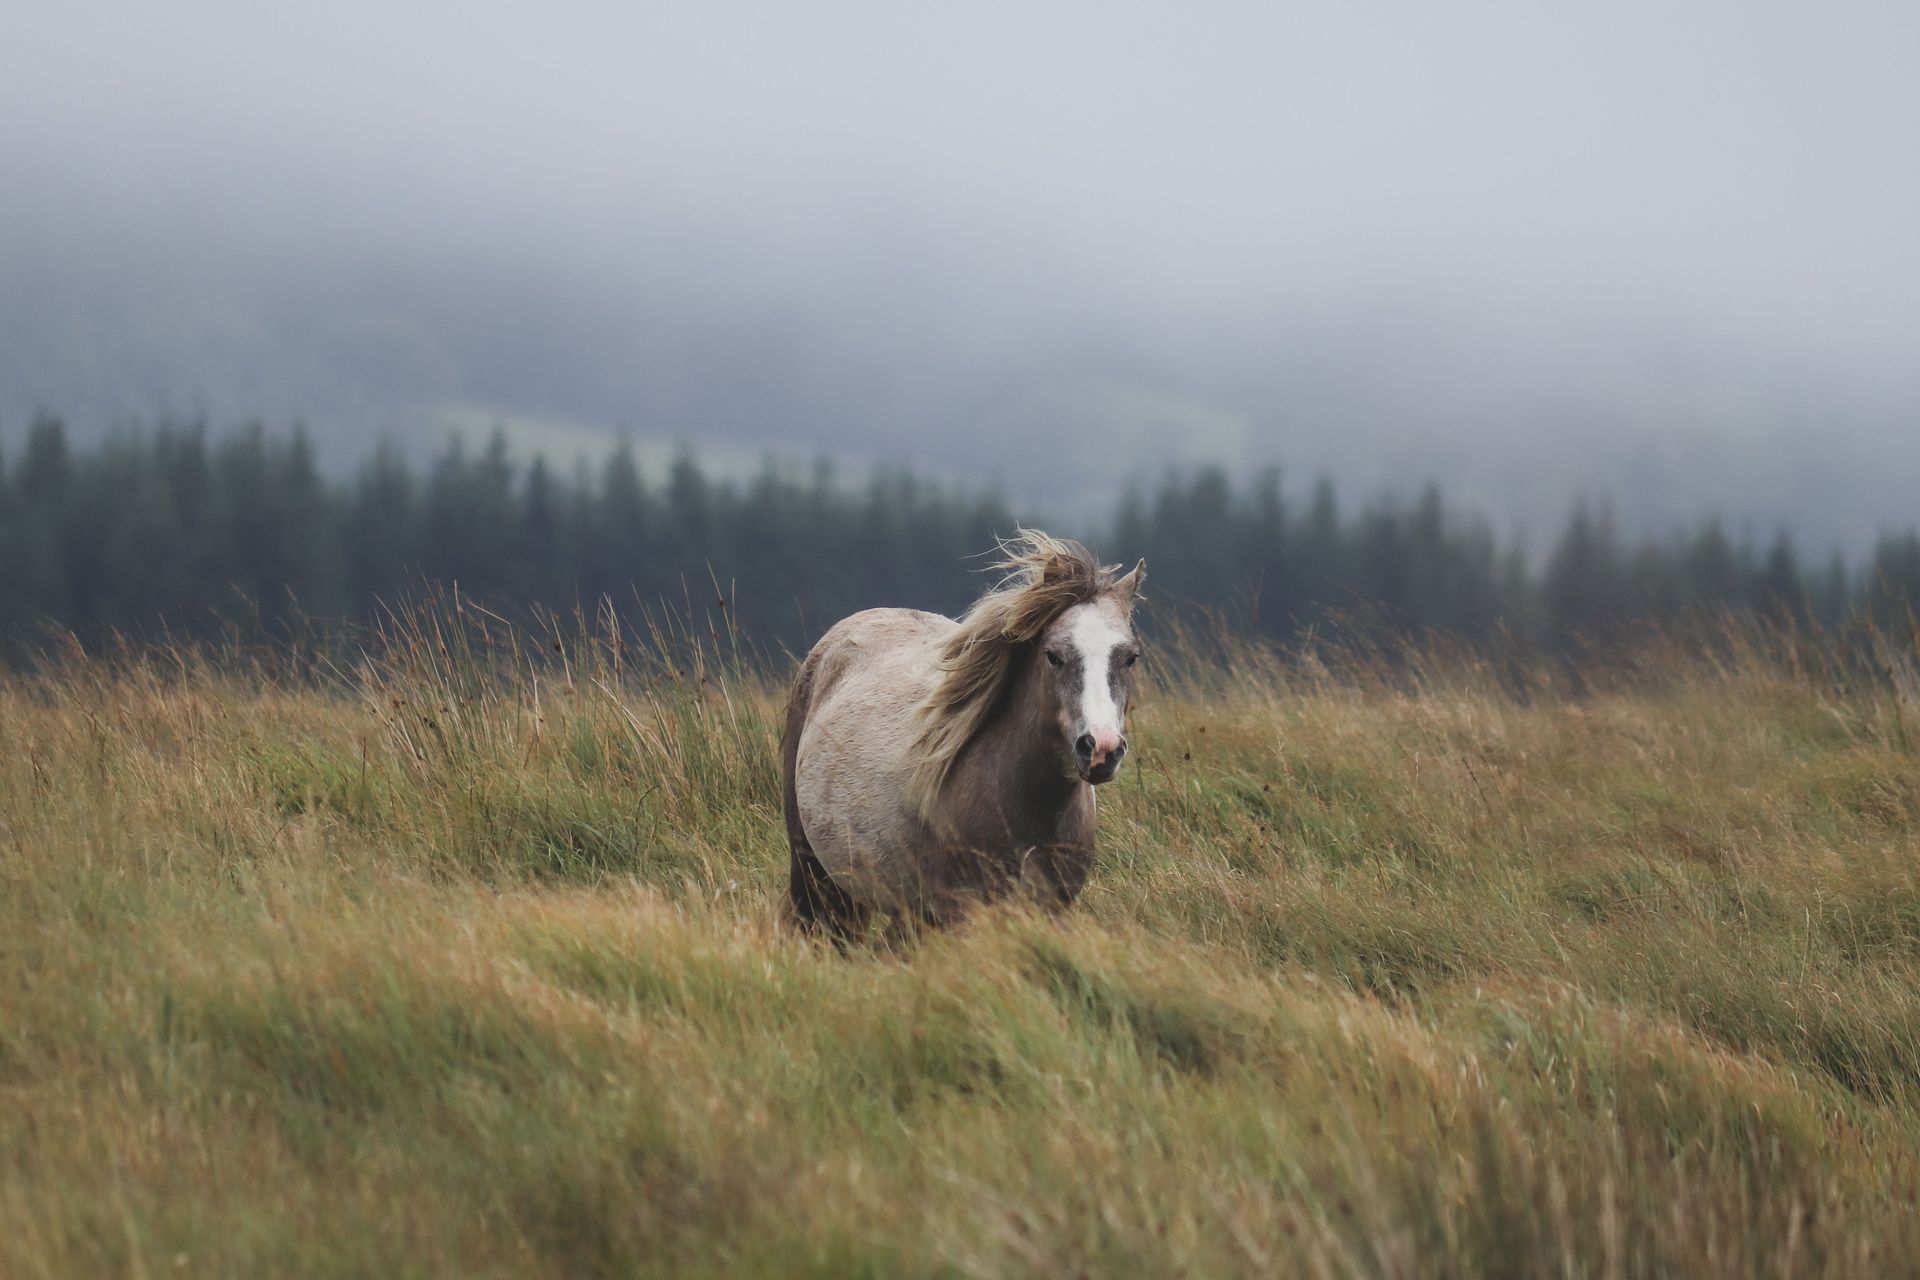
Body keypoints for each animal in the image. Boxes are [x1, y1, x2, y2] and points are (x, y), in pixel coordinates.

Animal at [781, 530, 1145, 938]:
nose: (1101, 749)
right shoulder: (962, 911)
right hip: (815, 876)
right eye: (1053, 655)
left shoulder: (1052, 909)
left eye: (1130, 657)